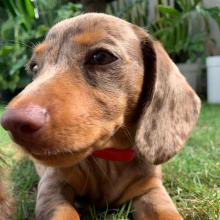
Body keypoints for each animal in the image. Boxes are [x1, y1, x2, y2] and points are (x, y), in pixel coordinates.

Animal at [1, 13, 201, 220]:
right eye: (34, 67)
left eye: (101, 57)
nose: (11, 122)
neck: (109, 157)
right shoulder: (52, 186)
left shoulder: (151, 190)